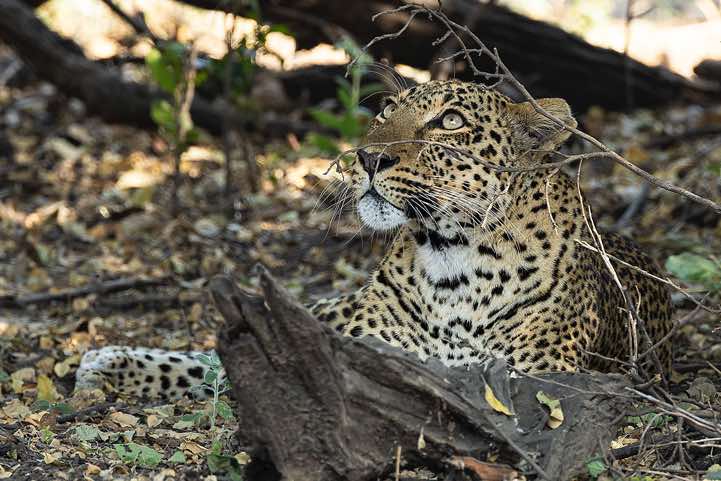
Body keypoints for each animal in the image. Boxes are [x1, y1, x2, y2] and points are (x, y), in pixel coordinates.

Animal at [75, 80, 673, 399]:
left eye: (450, 122)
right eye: (385, 112)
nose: (367, 157)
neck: (452, 264)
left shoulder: (538, 381)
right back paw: (107, 360)